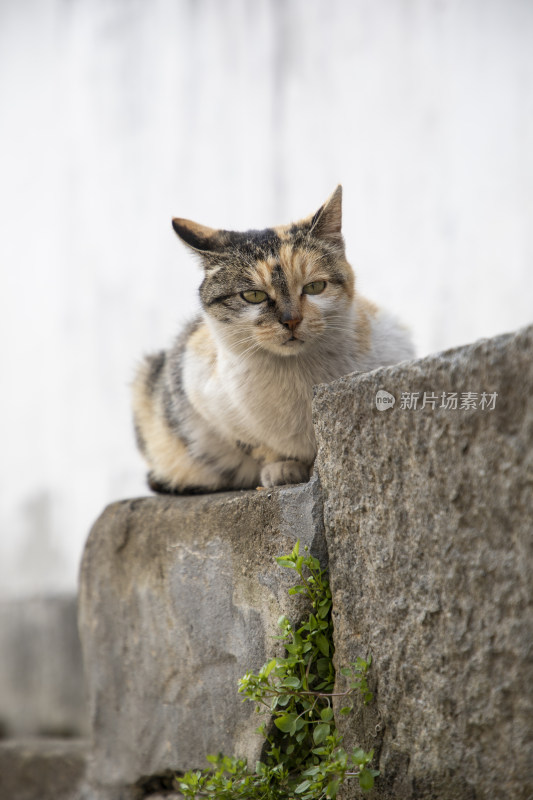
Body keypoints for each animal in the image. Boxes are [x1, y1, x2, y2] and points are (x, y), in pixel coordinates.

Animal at [131, 186, 414, 494]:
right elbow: (253, 443)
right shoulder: (197, 386)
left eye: (315, 287)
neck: (296, 373)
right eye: (253, 295)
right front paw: (283, 466)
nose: (291, 320)